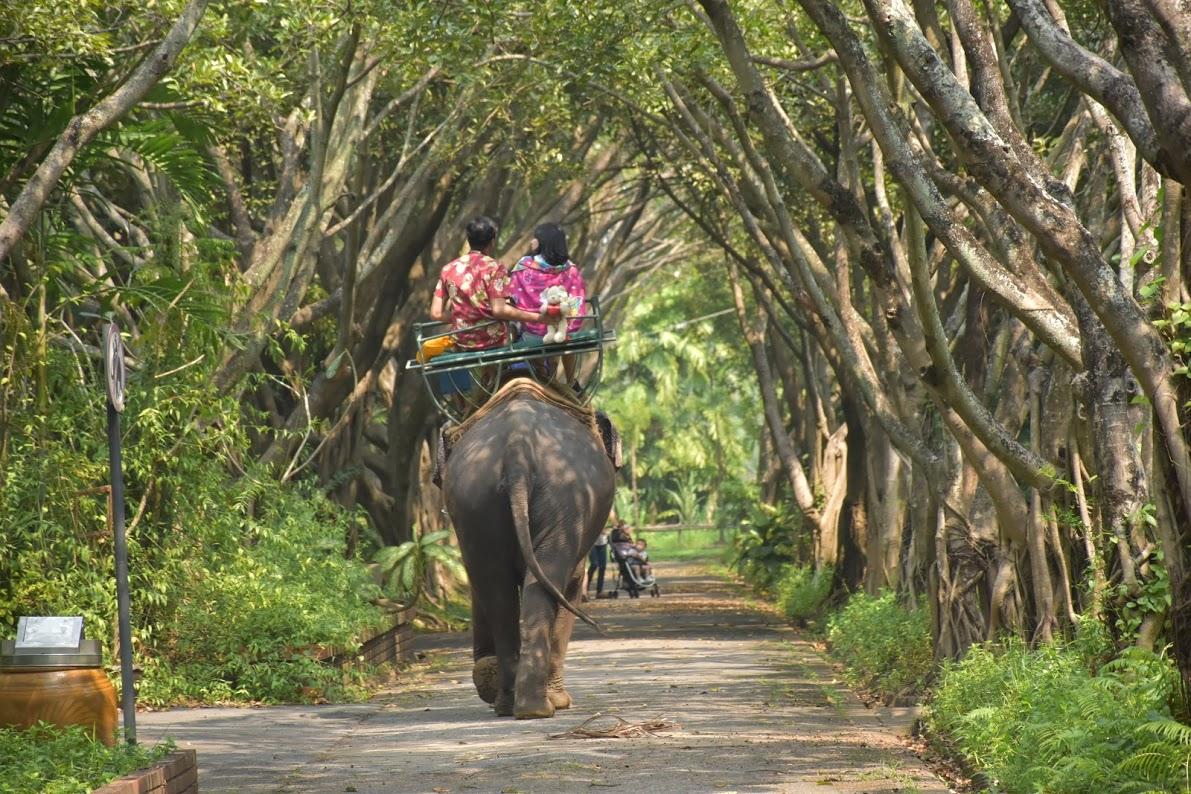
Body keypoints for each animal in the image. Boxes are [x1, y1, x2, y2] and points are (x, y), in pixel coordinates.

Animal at [445, 390, 614, 719]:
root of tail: (517, 451)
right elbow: (572, 588)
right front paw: (562, 700)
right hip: (565, 501)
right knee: (545, 583)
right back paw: (540, 707)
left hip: (475, 503)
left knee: (497, 593)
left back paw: (511, 704)